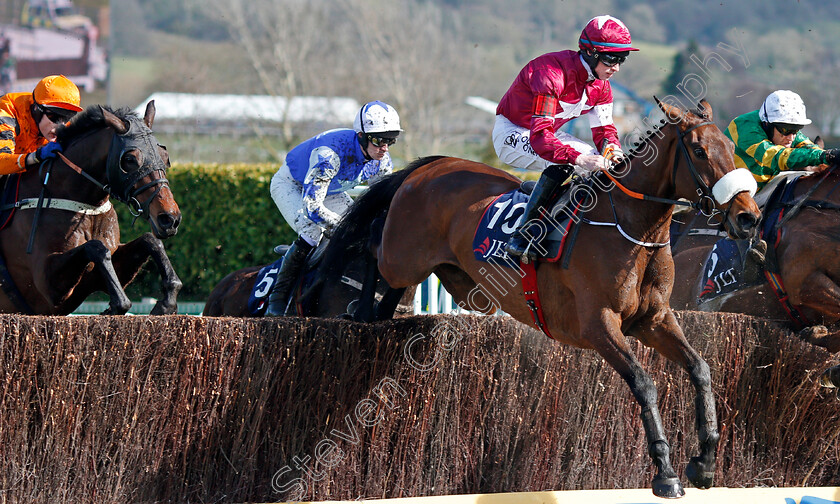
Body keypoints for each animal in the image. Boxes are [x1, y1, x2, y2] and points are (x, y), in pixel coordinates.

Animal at [0, 101, 182, 316]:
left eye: (165, 155)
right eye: (129, 159)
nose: (169, 218)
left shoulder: (98, 275)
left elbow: (151, 241)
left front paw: (168, 299)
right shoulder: (47, 287)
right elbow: (96, 247)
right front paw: (117, 303)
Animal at [320, 98, 760, 496]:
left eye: (731, 147)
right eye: (700, 151)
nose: (749, 217)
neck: (632, 229)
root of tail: (431, 166)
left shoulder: (654, 320)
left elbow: (700, 369)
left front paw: (704, 463)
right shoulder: (598, 325)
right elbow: (644, 383)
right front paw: (666, 473)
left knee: (388, 280)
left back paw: (377, 314)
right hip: (404, 256)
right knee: (373, 243)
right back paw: (359, 311)